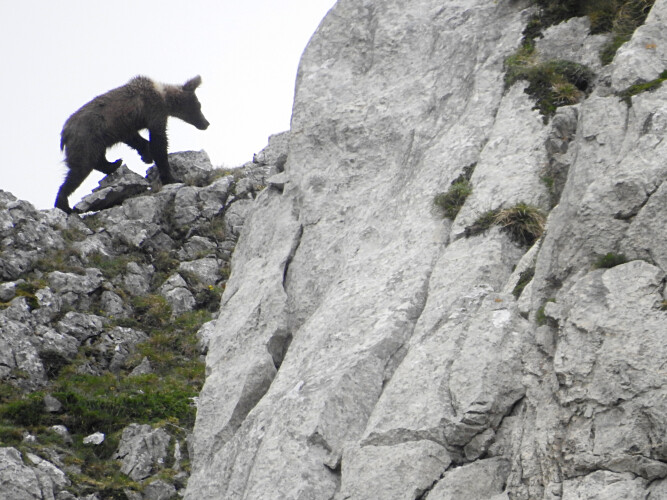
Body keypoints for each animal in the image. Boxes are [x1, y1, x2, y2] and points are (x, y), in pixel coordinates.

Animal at [56, 75, 210, 212]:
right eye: (198, 106)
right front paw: (171, 177)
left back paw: (114, 164)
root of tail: (64, 133)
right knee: (80, 168)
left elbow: (135, 139)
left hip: (97, 140)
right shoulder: (154, 111)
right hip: (85, 140)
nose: (206, 123)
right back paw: (65, 205)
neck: (164, 97)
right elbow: (159, 142)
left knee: (97, 159)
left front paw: (146, 155)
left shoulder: (125, 126)